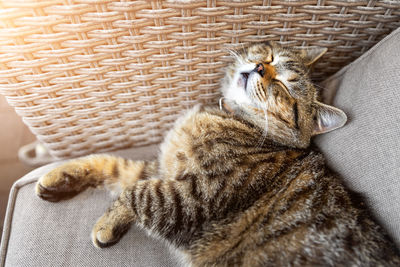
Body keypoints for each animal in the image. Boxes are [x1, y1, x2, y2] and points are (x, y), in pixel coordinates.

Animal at [36, 42, 398, 267]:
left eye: (283, 86)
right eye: (269, 56)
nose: (258, 68)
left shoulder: (197, 194)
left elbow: (138, 193)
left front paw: (106, 224)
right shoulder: (164, 167)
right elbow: (114, 166)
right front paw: (59, 177)